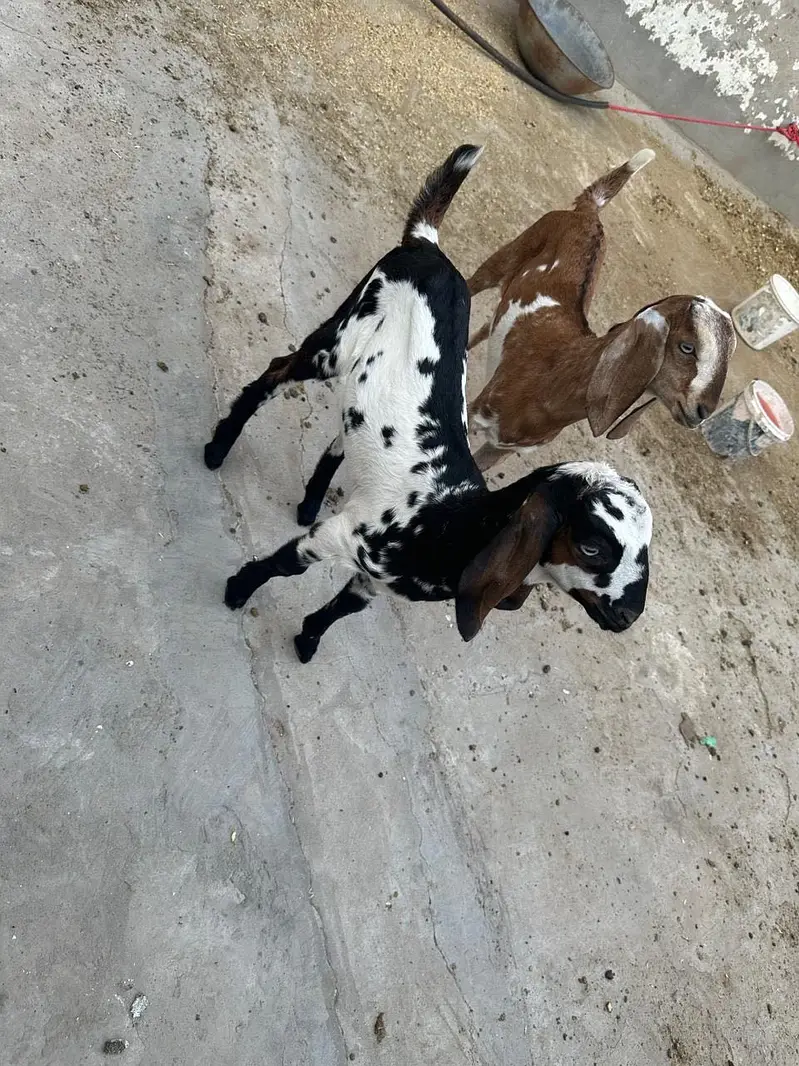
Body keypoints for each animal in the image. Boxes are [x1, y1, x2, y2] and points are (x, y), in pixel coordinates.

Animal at [204, 146, 653, 661]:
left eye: (646, 552)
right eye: (593, 547)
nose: (627, 616)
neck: (448, 521)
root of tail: (429, 244)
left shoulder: (379, 580)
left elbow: (343, 608)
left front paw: (308, 639)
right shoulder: (341, 535)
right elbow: (286, 564)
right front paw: (238, 590)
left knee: (341, 431)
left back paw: (310, 499)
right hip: (341, 338)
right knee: (277, 371)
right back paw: (217, 449)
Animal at [466, 149, 737, 471]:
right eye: (687, 347)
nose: (703, 411)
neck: (555, 374)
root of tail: (589, 213)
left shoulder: (504, 446)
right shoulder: (478, 413)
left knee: (490, 323)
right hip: (510, 253)